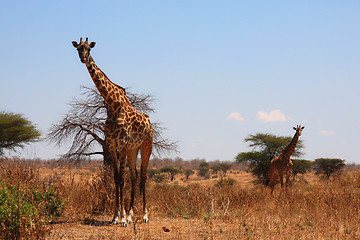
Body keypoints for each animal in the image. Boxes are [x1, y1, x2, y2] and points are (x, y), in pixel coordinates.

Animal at [72, 38, 153, 227]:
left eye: (88, 49)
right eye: (78, 48)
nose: (83, 58)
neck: (113, 103)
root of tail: (149, 122)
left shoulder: (121, 142)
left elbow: (121, 178)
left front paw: (122, 219)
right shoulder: (111, 142)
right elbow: (116, 178)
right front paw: (117, 216)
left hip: (146, 145)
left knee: (143, 176)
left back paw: (145, 216)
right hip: (133, 149)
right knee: (134, 176)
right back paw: (131, 215)